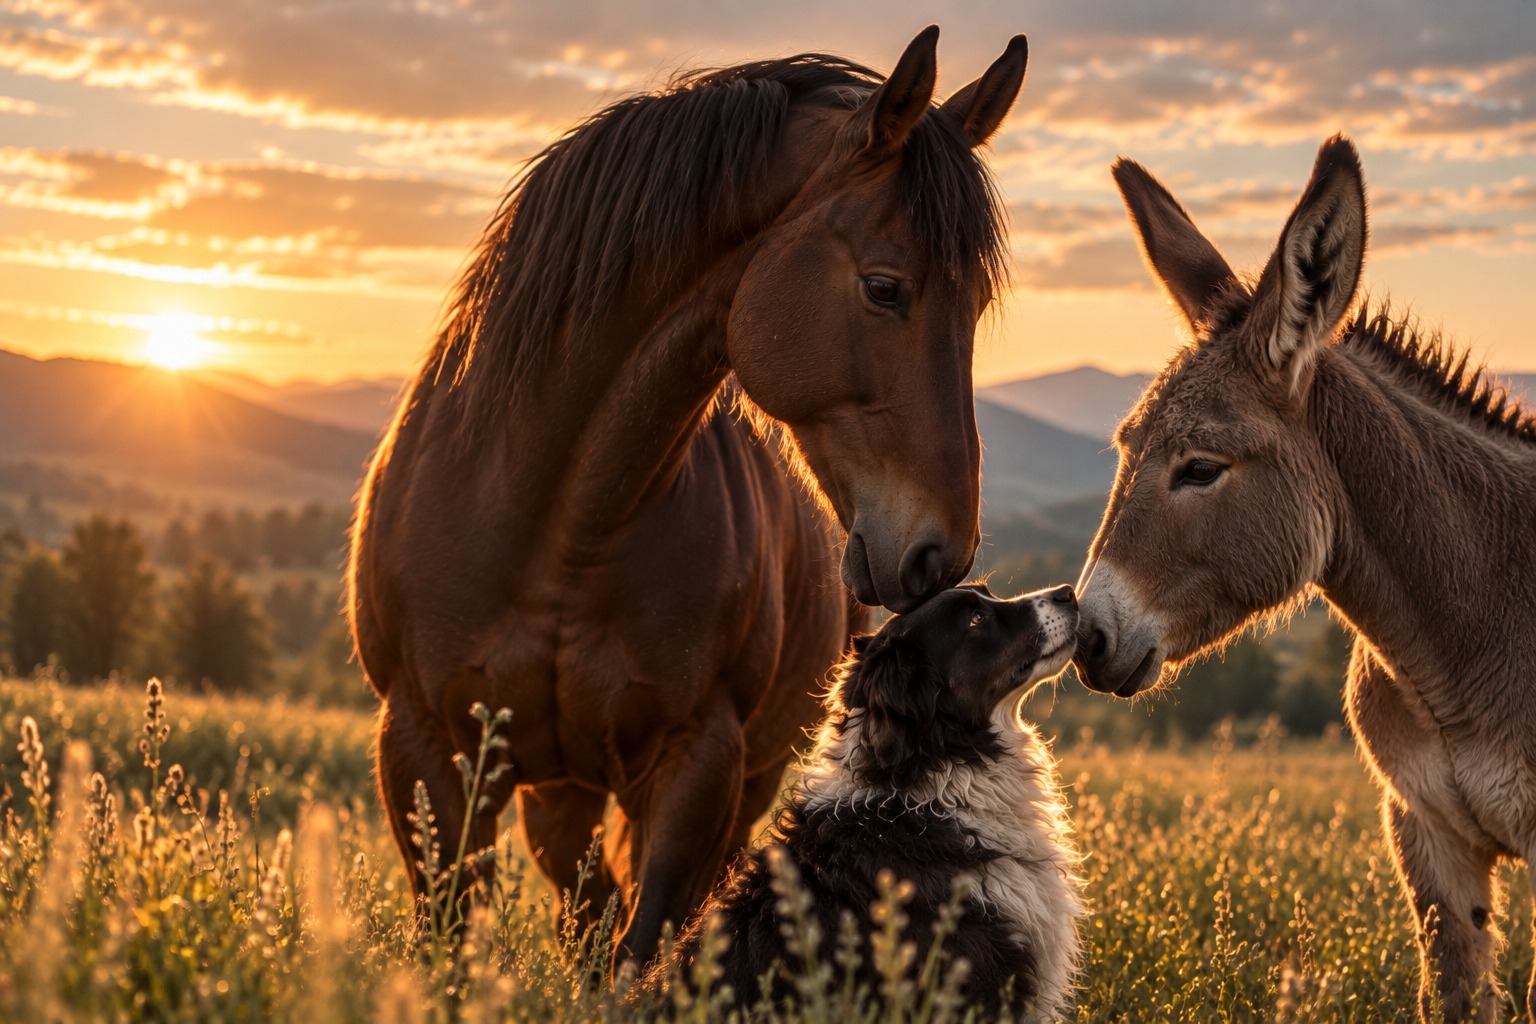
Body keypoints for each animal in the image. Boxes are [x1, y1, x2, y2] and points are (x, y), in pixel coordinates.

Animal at [347, 26, 1030, 972]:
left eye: (977, 304)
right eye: (885, 287)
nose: (940, 555)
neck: (559, 527)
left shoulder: (700, 764)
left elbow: (641, 951)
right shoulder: (420, 745)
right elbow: (457, 930)